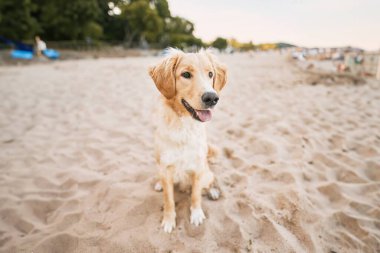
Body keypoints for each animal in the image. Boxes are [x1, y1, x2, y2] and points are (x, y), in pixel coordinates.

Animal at [148, 48, 226, 233]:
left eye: (210, 74)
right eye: (186, 74)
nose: (212, 98)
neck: (184, 126)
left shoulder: (198, 168)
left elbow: (196, 195)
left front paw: (196, 215)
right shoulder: (166, 167)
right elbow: (168, 199)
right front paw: (168, 221)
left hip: (206, 171)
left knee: (210, 180)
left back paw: (213, 192)